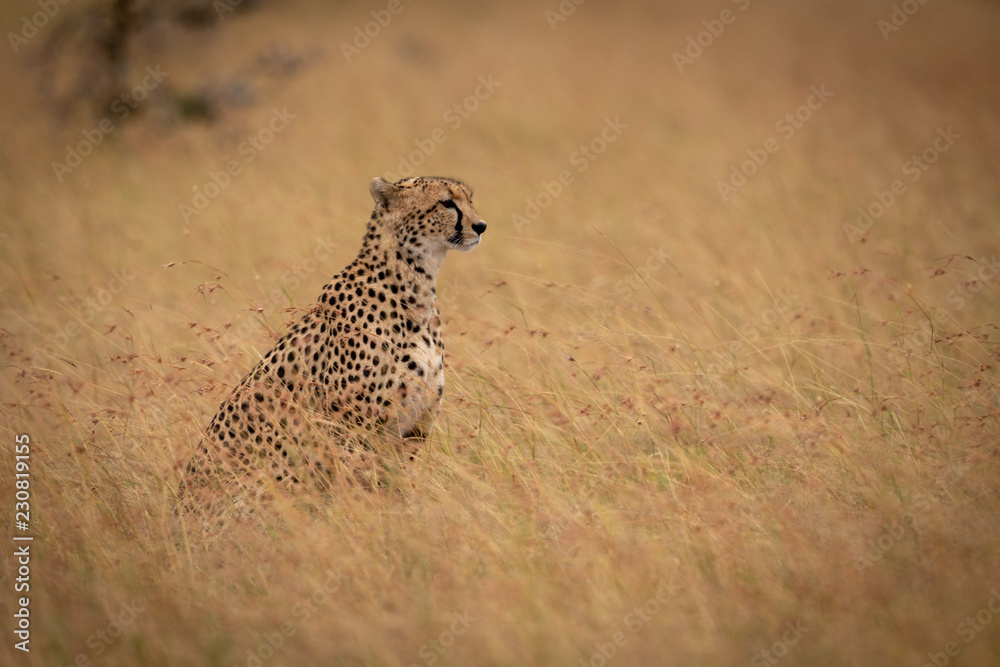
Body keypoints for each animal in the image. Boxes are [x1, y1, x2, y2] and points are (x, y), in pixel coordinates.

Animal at [177, 175, 488, 516]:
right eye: (446, 202)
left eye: (470, 199)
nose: (481, 226)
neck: (415, 285)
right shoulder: (351, 428)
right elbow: (363, 487)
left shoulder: (413, 428)